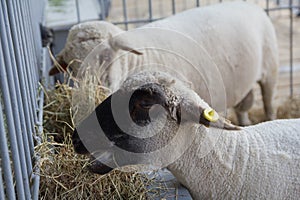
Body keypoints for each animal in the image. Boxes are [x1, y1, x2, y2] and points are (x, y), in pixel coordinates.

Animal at [69, 1, 276, 126]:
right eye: (71, 68)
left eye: (105, 56)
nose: (94, 91)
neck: (137, 60)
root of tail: (249, 4)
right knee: (244, 106)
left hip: (270, 68)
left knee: (268, 102)